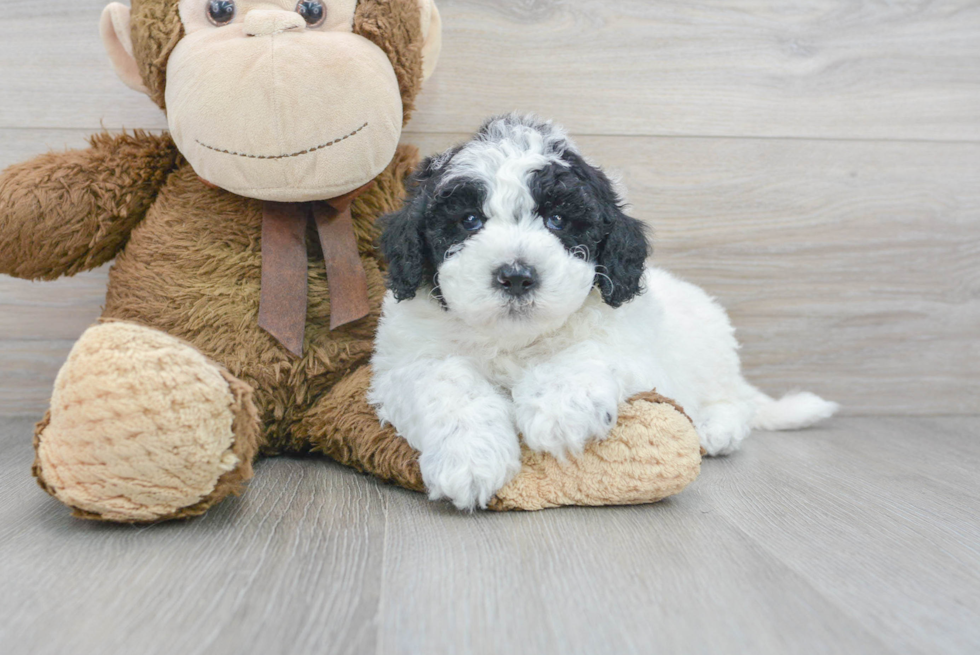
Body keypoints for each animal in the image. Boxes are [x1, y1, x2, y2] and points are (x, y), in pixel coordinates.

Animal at [368, 115, 836, 510]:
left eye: (558, 219)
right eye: (468, 220)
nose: (517, 276)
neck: (515, 339)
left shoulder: (636, 350)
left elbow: (587, 352)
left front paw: (559, 408)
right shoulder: (403, 362)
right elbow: (447, 381)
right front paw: (470, 459)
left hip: (711, 351)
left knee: (734, 401)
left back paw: (715, 429)